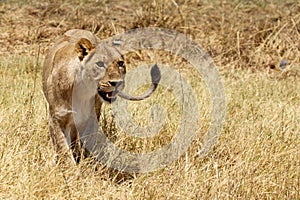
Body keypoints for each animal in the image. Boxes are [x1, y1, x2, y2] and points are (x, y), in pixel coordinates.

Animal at [42, 28, 161, 165]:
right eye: (99, 64)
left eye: (120, 63)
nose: (117, 82)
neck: (83, 90)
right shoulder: (57, 118)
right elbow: (62, 148)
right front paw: (70, 167)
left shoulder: (90, 118)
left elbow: (86, 140)